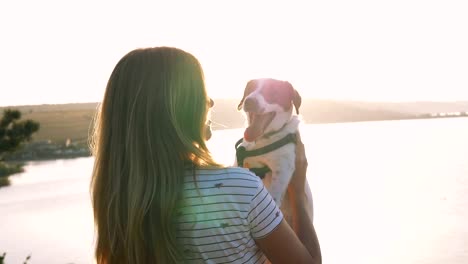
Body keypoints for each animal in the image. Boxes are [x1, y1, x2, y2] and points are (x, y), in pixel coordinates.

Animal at [234, 78, 314, 229]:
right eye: (250, 89)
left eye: (273, 92)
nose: (249, 101)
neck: (262, 140)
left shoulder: (283, 168)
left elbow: (274, 194)